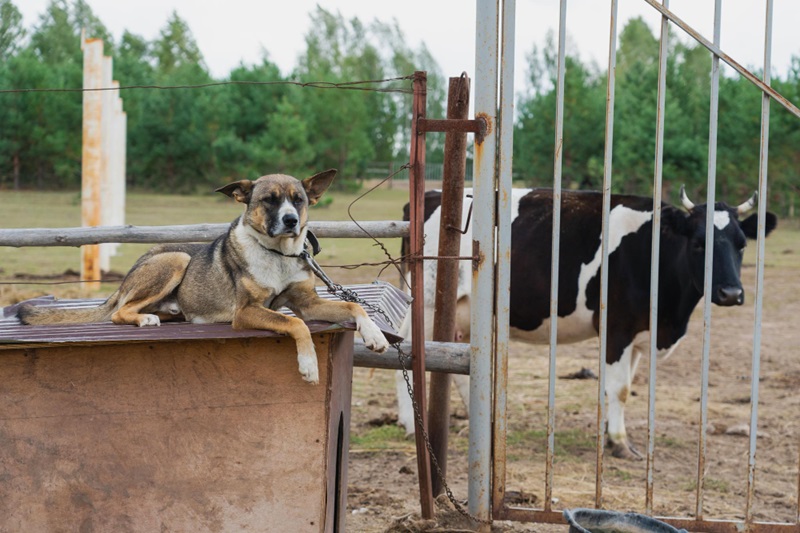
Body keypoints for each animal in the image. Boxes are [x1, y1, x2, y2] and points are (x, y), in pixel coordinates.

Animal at [17, 170, 392, 382]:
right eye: (269, 200)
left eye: (298, 200)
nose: (291, 221)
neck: (277, 253)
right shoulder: (247, 312)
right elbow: (296, 323)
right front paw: (309, 365)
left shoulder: (308, 302)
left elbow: (353, 307)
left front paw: (374, 335)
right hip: (176, 258)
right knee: (119, 312)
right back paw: (146, 318)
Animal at [396, 186, 780, 458]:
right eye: (699, 244)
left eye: (742, 244)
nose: (731, 292)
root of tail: (429, 195)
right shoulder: (617, 328)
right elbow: (619, 387)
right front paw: (620, 443)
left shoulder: (638, 334)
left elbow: (623, 388)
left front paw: (613, 437)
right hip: (425, 300)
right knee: (408, 349)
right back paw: (410, 424)